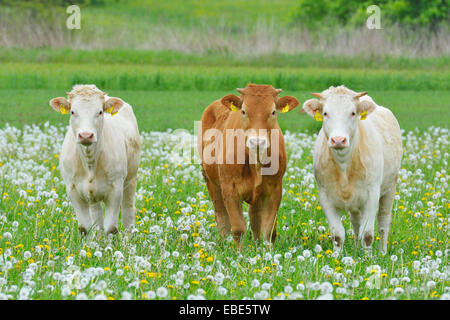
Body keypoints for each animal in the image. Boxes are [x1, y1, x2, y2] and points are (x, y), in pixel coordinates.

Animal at [49, 85, 142, 235]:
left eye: (100, 112)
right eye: (73, 112)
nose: (86, 135)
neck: (90, 163)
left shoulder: (116, 190)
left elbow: (111, 228)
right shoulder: (73, 190)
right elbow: (85, 228)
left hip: (131, 181)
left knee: (128, 215)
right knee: (97, 220)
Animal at [197, 83, 298, 248]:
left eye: (273, 112)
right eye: (243, 111)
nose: (257, 141)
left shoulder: (275, 188)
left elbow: (269, 229)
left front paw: (268, 252)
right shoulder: (229, 188)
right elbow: (238, 228)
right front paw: (239, 252)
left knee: (255, 218)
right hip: (210, 180)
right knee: (221, 216)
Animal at [302, 85, 404, 255]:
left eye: (353, 113)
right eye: (325, 113)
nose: (338, 140)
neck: (344, 166)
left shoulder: (372, 196)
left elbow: (368, 235)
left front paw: (368, 258)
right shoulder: (325, 198)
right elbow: (338, 234)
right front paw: (336, 256)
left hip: (389, 188)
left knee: (383, 223)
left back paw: (382, 252)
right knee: (356, 224)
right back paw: (356, 249)